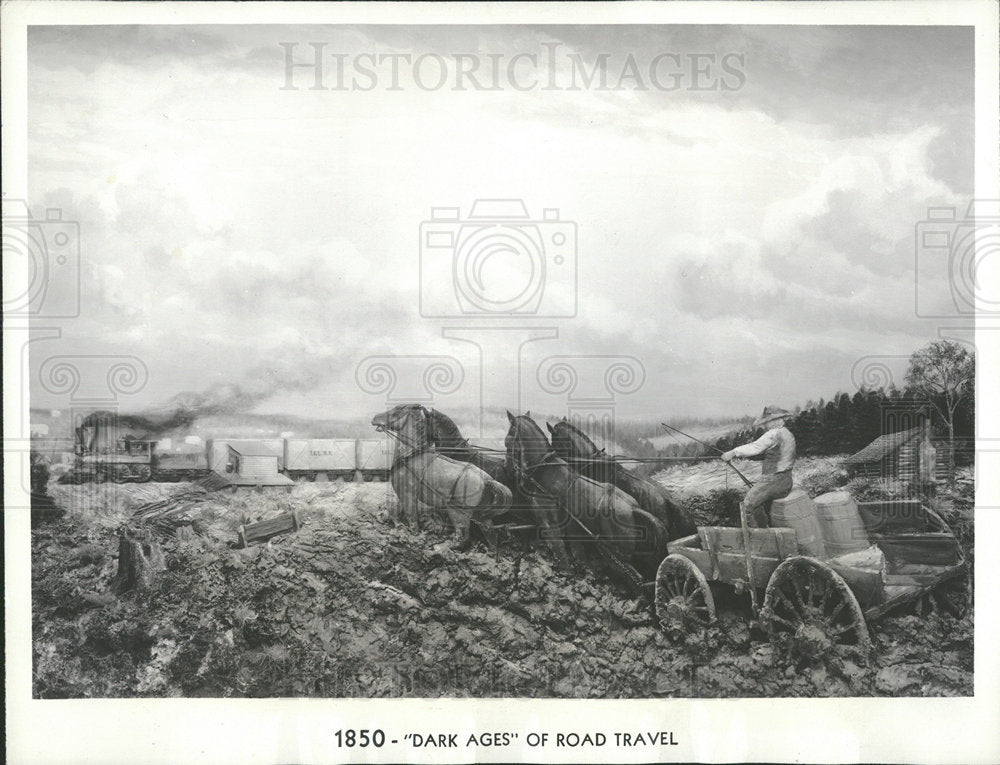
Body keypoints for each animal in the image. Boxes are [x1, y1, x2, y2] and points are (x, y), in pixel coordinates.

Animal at [372, 402, 512, 548]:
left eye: (398, 410)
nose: (375, 418)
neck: (410, 456)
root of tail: (487, 481)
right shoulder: (403, 494)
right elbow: (396, 510)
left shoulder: (407, 495)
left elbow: (412, 521)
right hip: (483, 516)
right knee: (491, 535)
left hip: (458, 514)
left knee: (463, 537)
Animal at [504, 412, 668, 580]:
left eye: (508, 439)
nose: (508, 468)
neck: (545, 470)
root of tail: (634, 508)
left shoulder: (549, 523)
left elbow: (561, 553)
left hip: (617, 554)